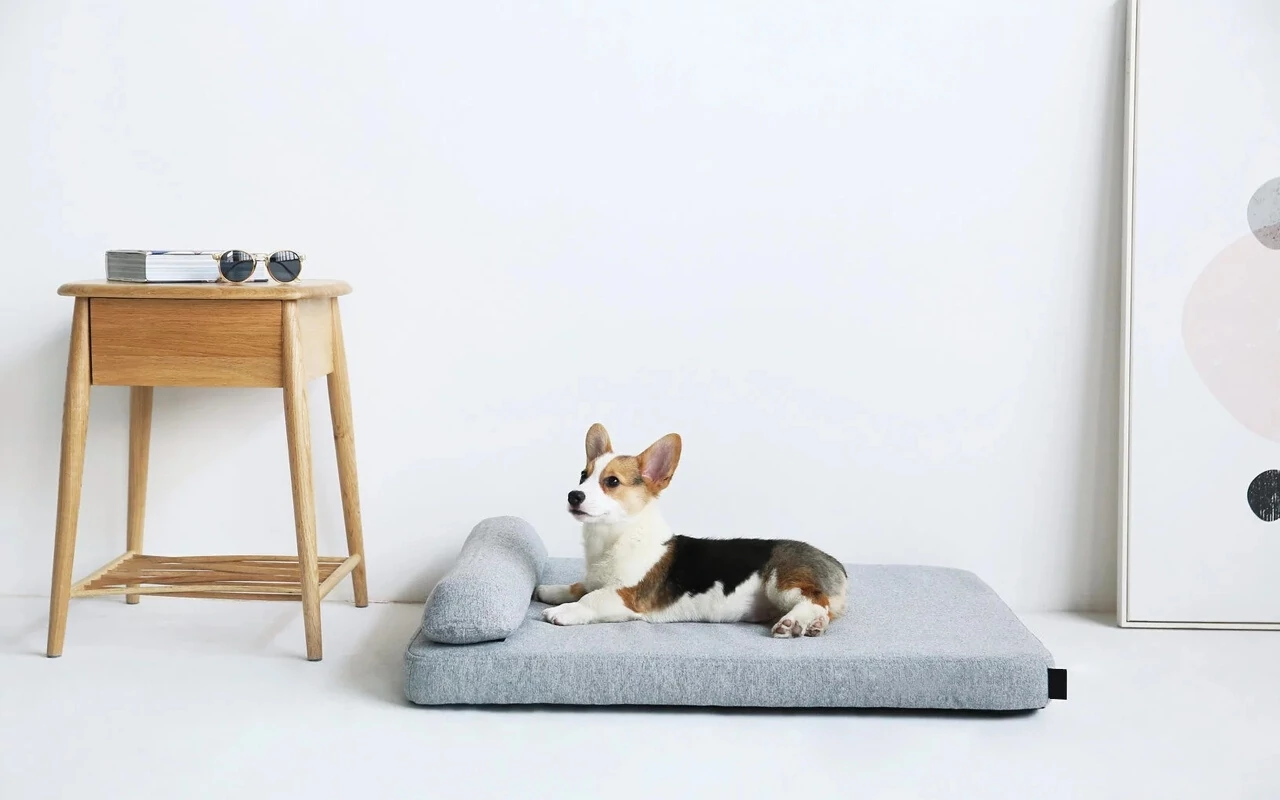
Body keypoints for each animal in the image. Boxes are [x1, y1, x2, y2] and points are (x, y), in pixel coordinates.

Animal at [535, 423, 848, 638]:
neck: (614, 537)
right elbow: (579, 587)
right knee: (824, 608)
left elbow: (590, 598)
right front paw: (549, 591)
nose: (573, 496)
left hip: (782, 584)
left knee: (815, 598)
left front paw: (561, 611)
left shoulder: (624, 595)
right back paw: (813, 624)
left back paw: (794, 622)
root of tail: (836, 564)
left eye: (612, 481)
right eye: (583, 476)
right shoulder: (595, 580)